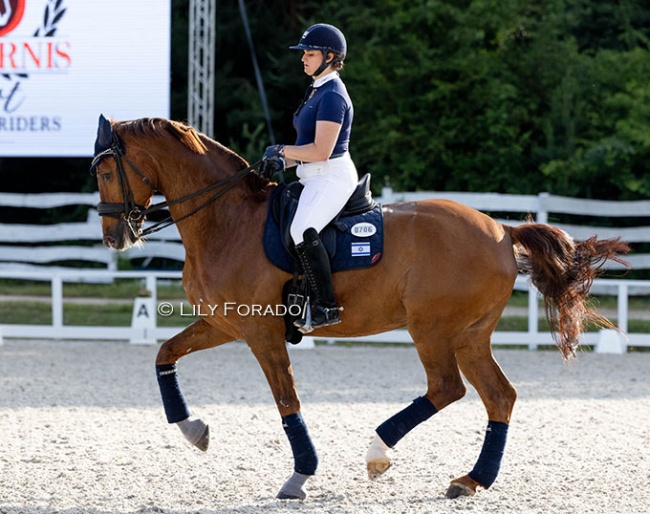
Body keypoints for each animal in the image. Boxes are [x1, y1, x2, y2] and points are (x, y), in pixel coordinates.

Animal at [88, 115, 624, 496]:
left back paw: (378, 452)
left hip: (432, 328)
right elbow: (164, 355)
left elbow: (286, 400)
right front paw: (193, 430)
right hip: (470, 334)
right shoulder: (225, 324)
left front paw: (301, 475)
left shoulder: (261, 332)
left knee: (447, 388)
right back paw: (472, 480)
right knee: (499, 396)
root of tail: (501, 229)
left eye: (107, 170)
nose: (115, 236)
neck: (226, 220)